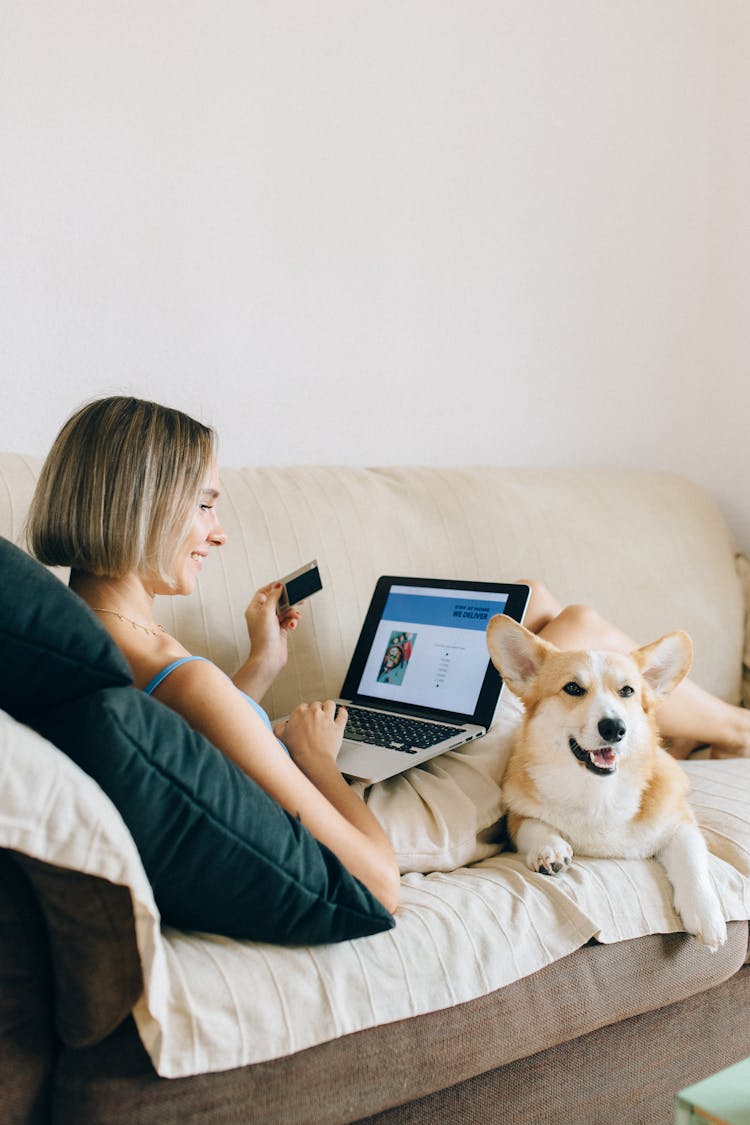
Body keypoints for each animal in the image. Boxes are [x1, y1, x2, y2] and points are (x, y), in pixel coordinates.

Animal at [488, 616, 728, 949]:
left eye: (627, 691)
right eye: (572, 688)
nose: (615, 728)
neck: (598, 793)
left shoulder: (680, 824)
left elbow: (692, 861)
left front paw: (706, 915)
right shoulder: (517, 814)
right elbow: (534, 825)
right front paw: (550, 848)